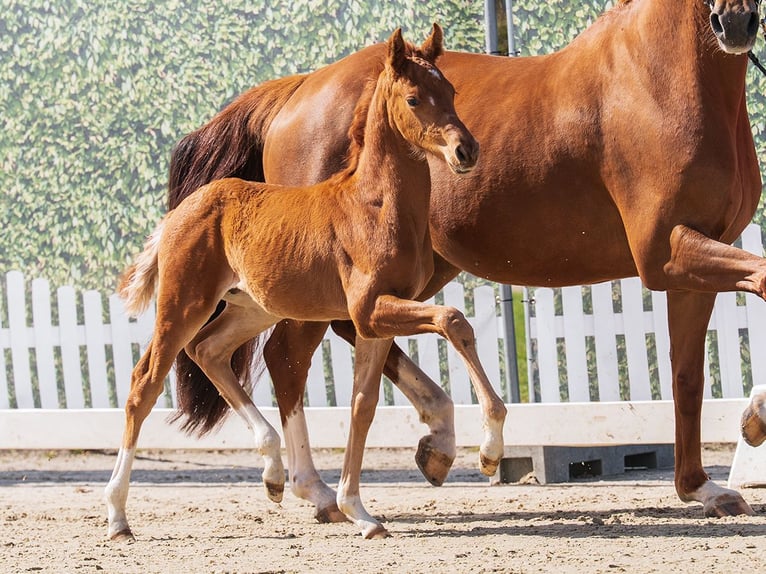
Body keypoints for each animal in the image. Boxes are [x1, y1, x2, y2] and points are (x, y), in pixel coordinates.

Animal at [105, 25, 495, 540]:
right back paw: (117, 517)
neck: (372, 206)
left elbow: (363, 406)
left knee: (209, 350)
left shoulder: (374, 322)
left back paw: (274, 473)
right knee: (144, 383)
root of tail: (183, 209)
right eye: (413, 99)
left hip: (253, 306)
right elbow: (454, 320)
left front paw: (361, 512)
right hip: (183, 304)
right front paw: (491, 449)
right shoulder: (370, 310)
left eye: (450, 91)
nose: (466, 151)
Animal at [166, 0, 764, 521]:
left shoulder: (691, 266)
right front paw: (753, 424)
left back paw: (434, 443)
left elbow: (688, 375)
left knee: (346, 332)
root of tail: (297, 89)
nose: (734, 23)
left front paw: (703, 487)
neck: (660, 77)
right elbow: (760, 280)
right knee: (288, 356)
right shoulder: (666, 253)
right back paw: (317, 489)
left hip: (408, 269)